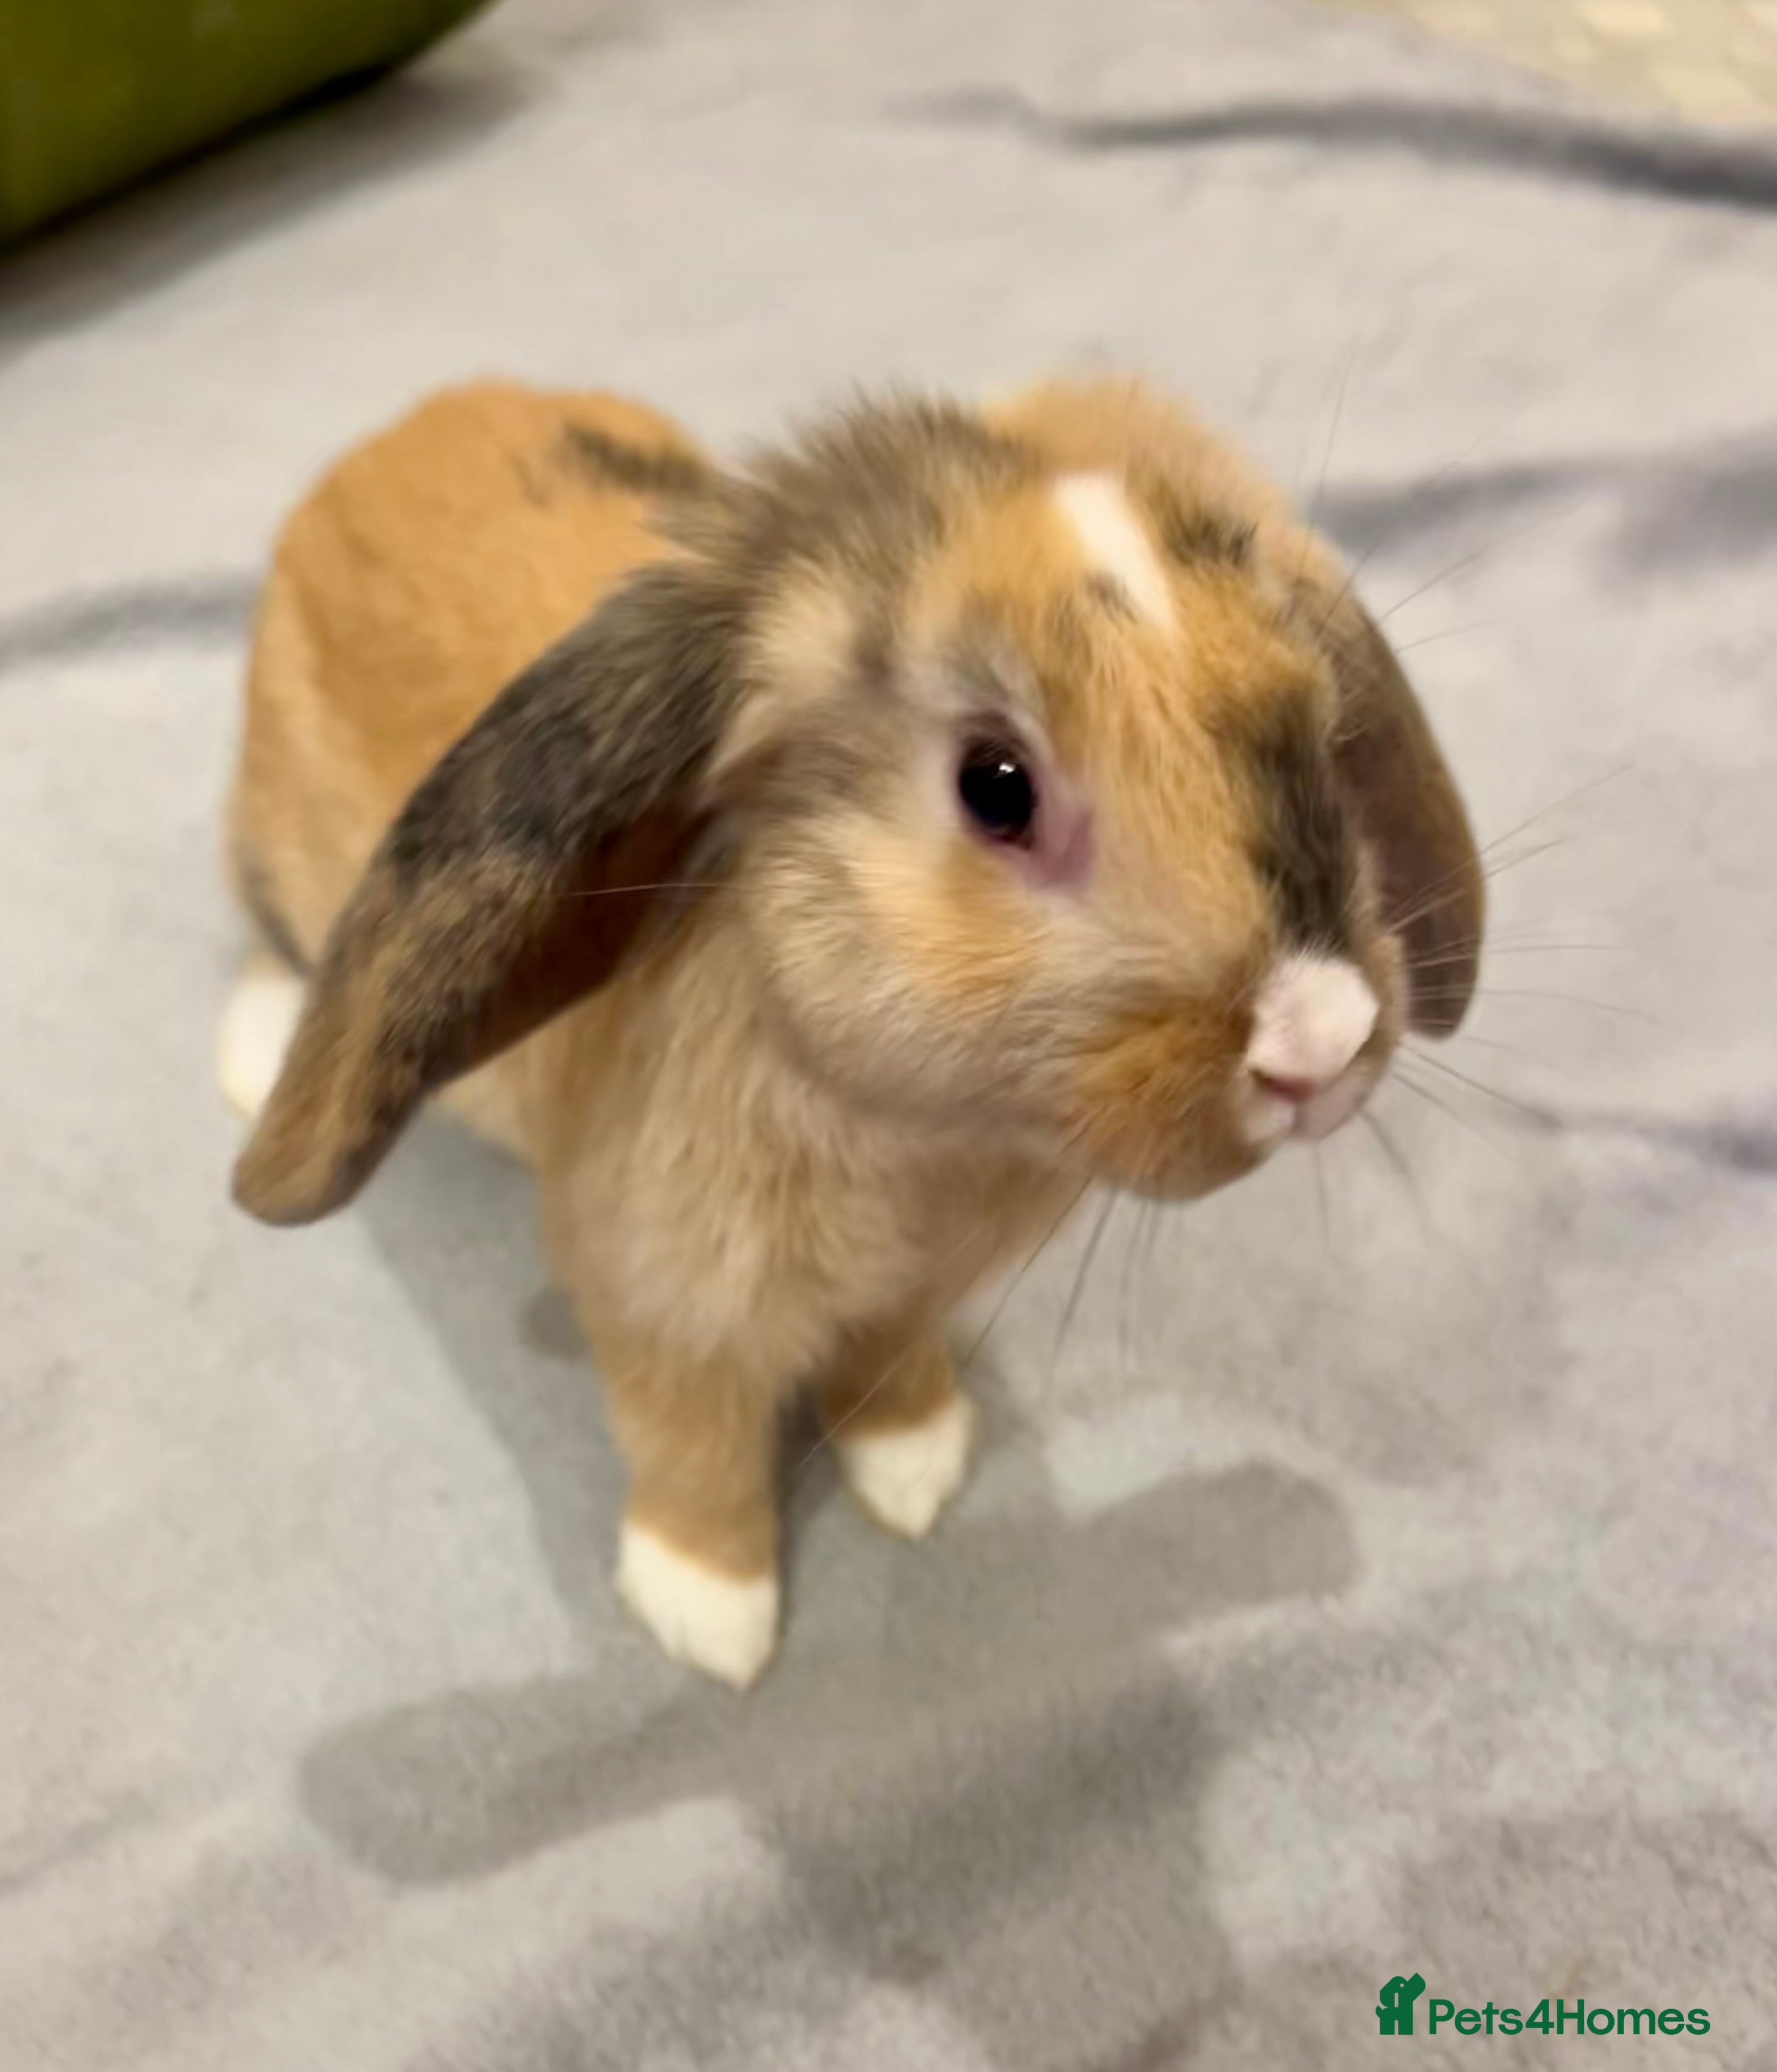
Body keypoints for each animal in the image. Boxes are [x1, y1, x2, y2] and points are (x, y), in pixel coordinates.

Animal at [221, 374, 1483, 1687]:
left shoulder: (909, 1293)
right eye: (995, 784)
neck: (915, 1131)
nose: (1321, 1037)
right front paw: (710, 1617)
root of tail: (391, 435)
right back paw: (254, 1052)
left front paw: (915, 1466)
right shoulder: (663, 1303)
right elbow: (692, 1448)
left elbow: (885, 1365)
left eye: (1316, 721)